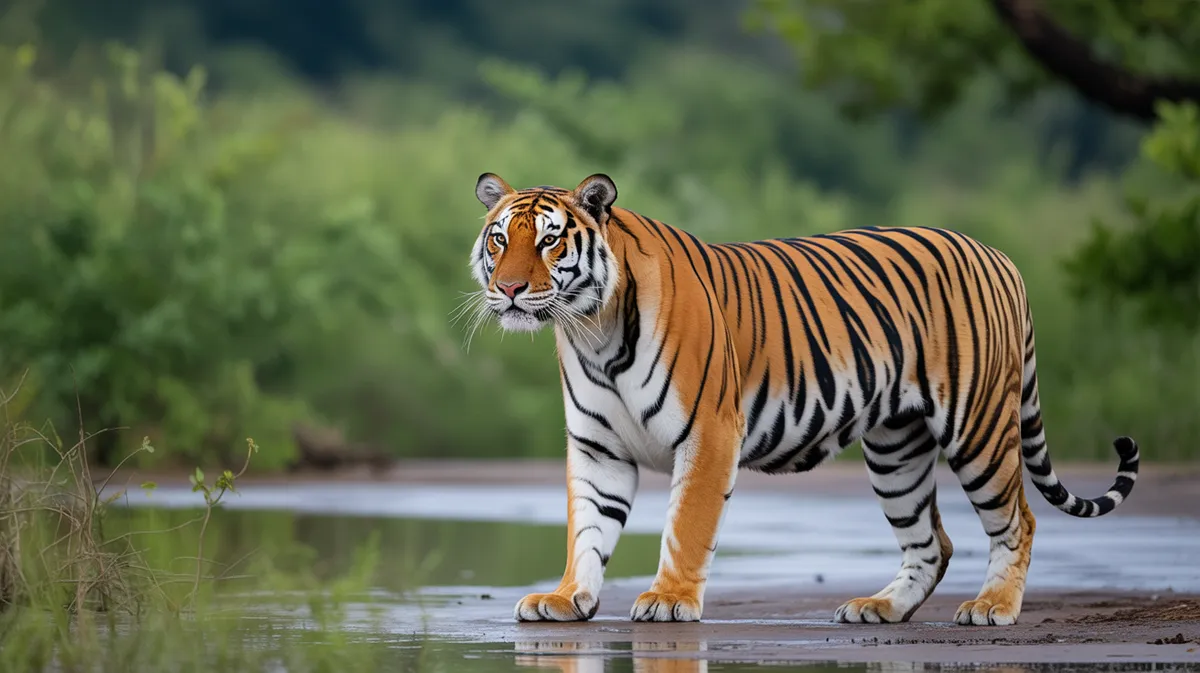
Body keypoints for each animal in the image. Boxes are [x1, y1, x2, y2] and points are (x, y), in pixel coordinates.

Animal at [467, 172, 1140, 626]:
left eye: (551, 242)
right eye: (499, 240)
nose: (509, 289)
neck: (593, 330)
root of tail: (1000, 257)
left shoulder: (710, 432)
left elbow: (685, 525)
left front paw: (669, 599)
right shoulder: (598, 447)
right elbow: (588, 527)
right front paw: (564, 598)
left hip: (978, 429)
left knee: (1017, 520)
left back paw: (992, 607)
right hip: (896, 450)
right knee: (931, 542)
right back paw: (880, 608)